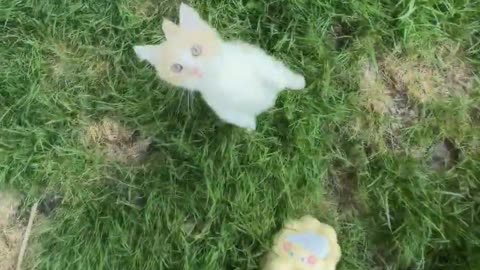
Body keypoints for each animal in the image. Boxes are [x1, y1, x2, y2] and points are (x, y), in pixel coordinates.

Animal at [133, 2, 306, 130]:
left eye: (196, 50)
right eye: (177, 68)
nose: (196, 70)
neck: (221, 79)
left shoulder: (255, 58)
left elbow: (274, 72)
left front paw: (297, 82)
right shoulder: (220, 107)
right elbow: (237, 117)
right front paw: (250, 127)